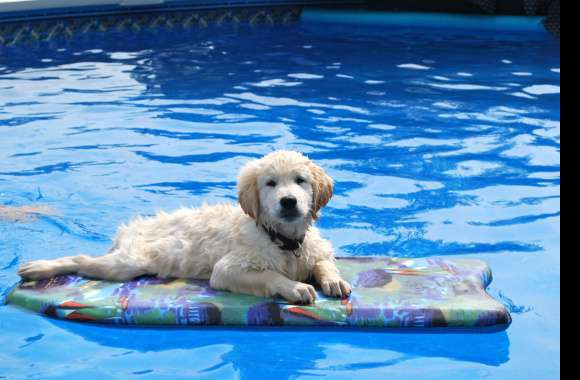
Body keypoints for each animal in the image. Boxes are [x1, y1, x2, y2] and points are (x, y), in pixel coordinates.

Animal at [19, 151, 348, 302]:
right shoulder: (228, 269)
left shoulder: (313, 248)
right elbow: (270, 275)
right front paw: (295, 287)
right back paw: (39, 268)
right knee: (82, 260)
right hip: (128, 262)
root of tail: (131, 227)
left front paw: (333, 280)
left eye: (300, 180)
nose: (289, 202)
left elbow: (323, 261)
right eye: (270, 184)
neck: (283, 240)